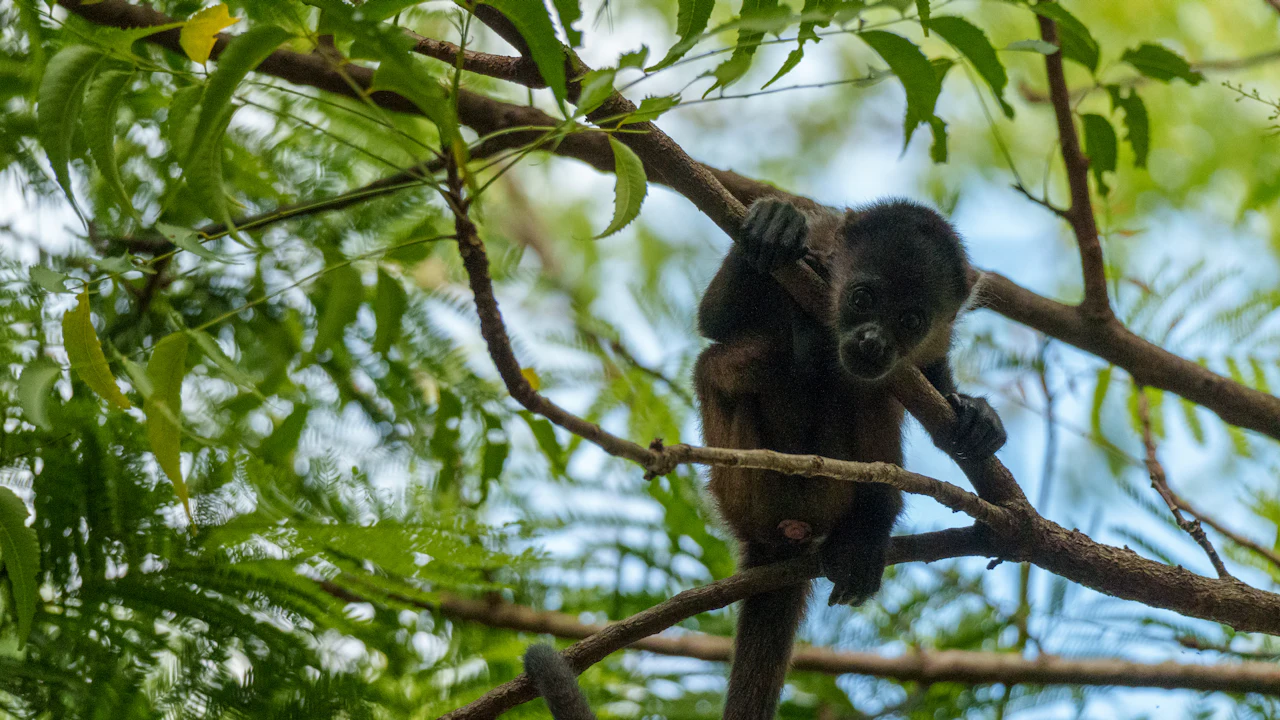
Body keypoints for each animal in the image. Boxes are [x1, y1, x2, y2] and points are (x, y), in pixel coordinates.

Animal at [693, 197, 1006, 720]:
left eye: (911, 320)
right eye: (862, 298)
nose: (873, 341)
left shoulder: (935, 337)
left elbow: (926, 375)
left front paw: (974, 412)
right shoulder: (819, 239)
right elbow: (714, 322)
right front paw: (775, 221)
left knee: (872, 393)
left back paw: (871, 524)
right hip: (741, 491)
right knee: (720, 361)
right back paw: (803, 343)